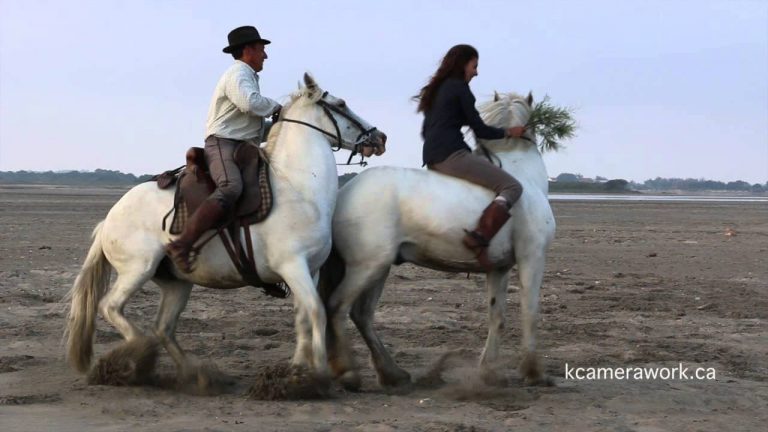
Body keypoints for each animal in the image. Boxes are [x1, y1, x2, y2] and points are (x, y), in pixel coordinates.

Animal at [65, 73, 388, 384]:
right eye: (342, 103)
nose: (381, 137)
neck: (298, 186)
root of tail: (108, 220)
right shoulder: (293, 266)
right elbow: (315, 311)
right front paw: (317, 373)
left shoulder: (310, 269)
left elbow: (303, 317)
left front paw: (297, 368)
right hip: (136, 270)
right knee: (111, 308)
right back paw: (140, 351)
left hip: (176, 283)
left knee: (163, 327)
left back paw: (197, 374)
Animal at [320, 93, 556, 390]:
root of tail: (344, 192)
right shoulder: (532, 258)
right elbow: (530, 312)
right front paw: (533, 372)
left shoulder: (499, 268)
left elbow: (497, 317)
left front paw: (489, 372)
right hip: (366, 267)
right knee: (338, 308)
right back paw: (350, 373)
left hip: (378, 268)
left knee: (361, 315)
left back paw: (392, 374)